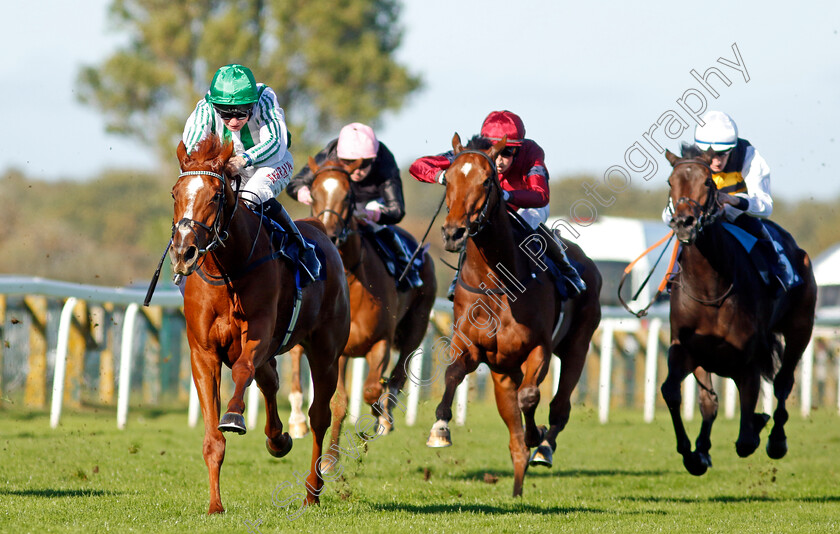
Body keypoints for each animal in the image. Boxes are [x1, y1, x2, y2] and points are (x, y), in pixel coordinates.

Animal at [171, 136, 352, 516]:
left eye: (215, 195)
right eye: (175, 193)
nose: (183, 253)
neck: (228, 269)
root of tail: (319, 228)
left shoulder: (258, 337)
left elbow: (243, 371)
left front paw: (234, 416)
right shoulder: (203, 352)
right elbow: (213, 440)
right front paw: (215, 505)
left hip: (326, 353)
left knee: (319, 416)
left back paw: (312, 491)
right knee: (270, 381)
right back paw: (278, 439)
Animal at [286, 156, 436, 464]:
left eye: (348, 195)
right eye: (313, 193)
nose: (330, 233)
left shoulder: (381, 342)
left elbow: (371, 391)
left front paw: (380, 419)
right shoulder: (338, 352)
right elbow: (339, 402)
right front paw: (330, 458)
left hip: (416, 327)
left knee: (398, 375)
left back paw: (386, 417)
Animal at [430, 134, 600, 498]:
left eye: (486, 181)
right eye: (447, 179)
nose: (453, 233)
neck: (497, 281)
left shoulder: (539, 348)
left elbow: (531, 396)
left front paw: (538, 435)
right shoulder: (473, 348)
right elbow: (452, 373)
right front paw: (440, 427)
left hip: (578, 345)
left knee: (559, 407)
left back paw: (544, 447)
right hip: (502, 371)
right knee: (515, 439)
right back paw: (518, 489)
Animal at [664, 144, 812, 476]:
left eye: (708, 182)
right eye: (670, 182)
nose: (684, 223)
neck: (710, 288)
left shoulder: (749, 361)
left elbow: (746, 439)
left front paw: (759, 424)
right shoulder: (686, 349)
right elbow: (674, 392)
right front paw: (693, 454)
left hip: (800, 329)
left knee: (783, 382)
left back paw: (777, 439)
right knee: (710, 400)